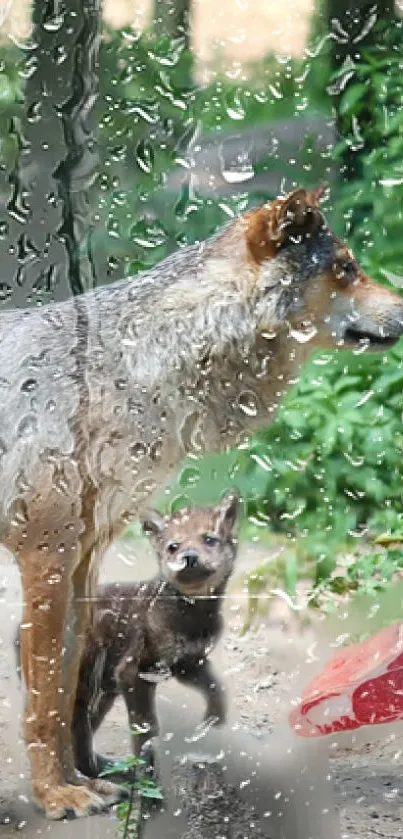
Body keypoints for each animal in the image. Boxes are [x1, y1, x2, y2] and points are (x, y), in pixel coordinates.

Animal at [0, 184, 403, 820]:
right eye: (345, 268)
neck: (126, 369)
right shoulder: (45, 559)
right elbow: (43, 703)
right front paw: (55, 795)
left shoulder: (80, 564)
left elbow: (62, 693)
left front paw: (80, 782)